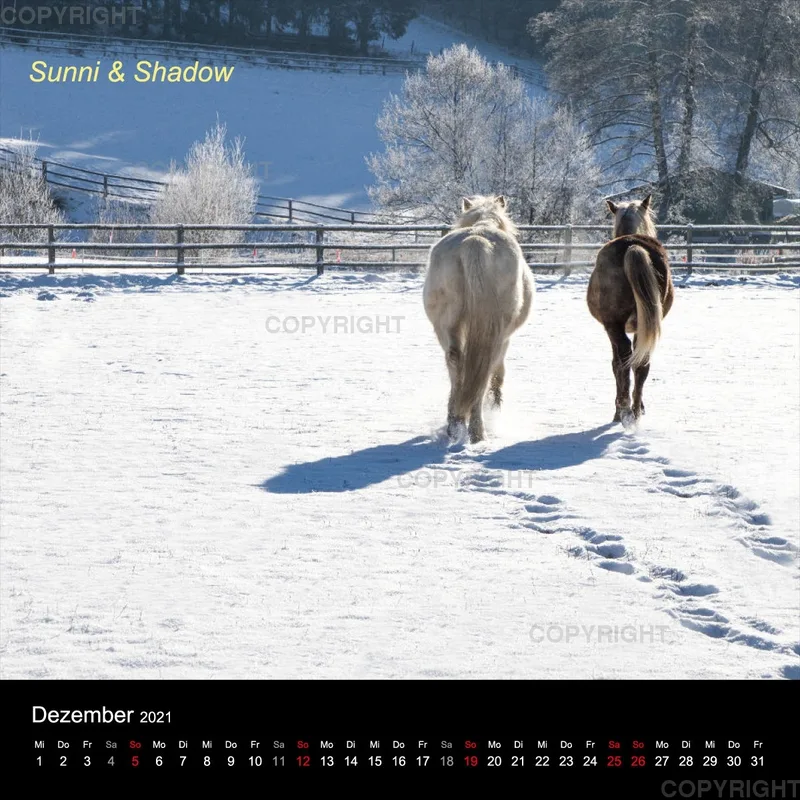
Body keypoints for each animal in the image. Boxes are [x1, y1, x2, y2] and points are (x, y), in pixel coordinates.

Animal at [423, 195, 534, 444]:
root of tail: (475, 241)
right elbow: (499, 371)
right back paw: (477, 430)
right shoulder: (506, 338)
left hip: (446, 325)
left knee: (456, 360)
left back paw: (455, 423)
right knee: (485, 368)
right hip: (497, 333)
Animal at [586, 194, 674, 427]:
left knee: (624, 358)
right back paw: (635, 410)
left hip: (614, 324)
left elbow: (616, 364)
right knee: (642, 362)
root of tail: (633, 247)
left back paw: (624, 410)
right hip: (646, 324)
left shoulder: (612, 328)